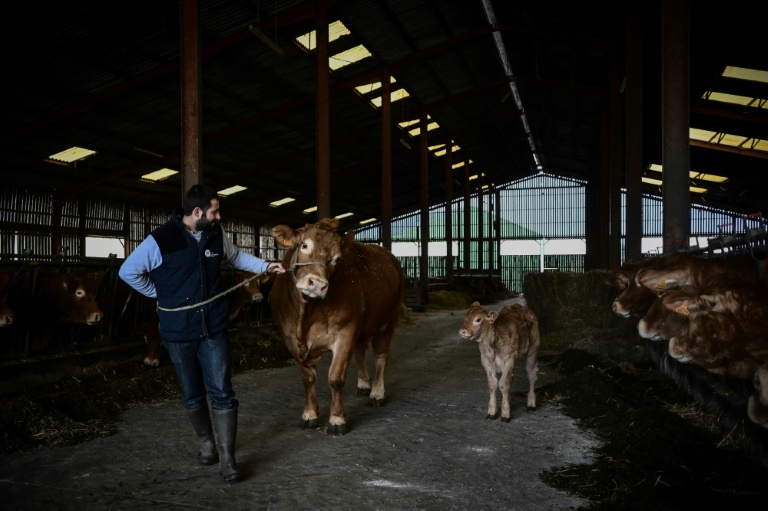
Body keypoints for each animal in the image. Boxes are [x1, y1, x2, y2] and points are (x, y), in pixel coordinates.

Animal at [270, 217, 404, 436]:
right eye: (304, 245)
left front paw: (337, 418)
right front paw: (309, 415)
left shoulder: (345, 332)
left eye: (337, 259)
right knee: (360, 352)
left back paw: (376, 393)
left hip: (389, 320)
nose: (317, 284)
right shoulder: (290, 338)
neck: (306, 314)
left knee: (381, 357)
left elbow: (335, 378)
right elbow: (308, 378)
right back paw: (364, 384)